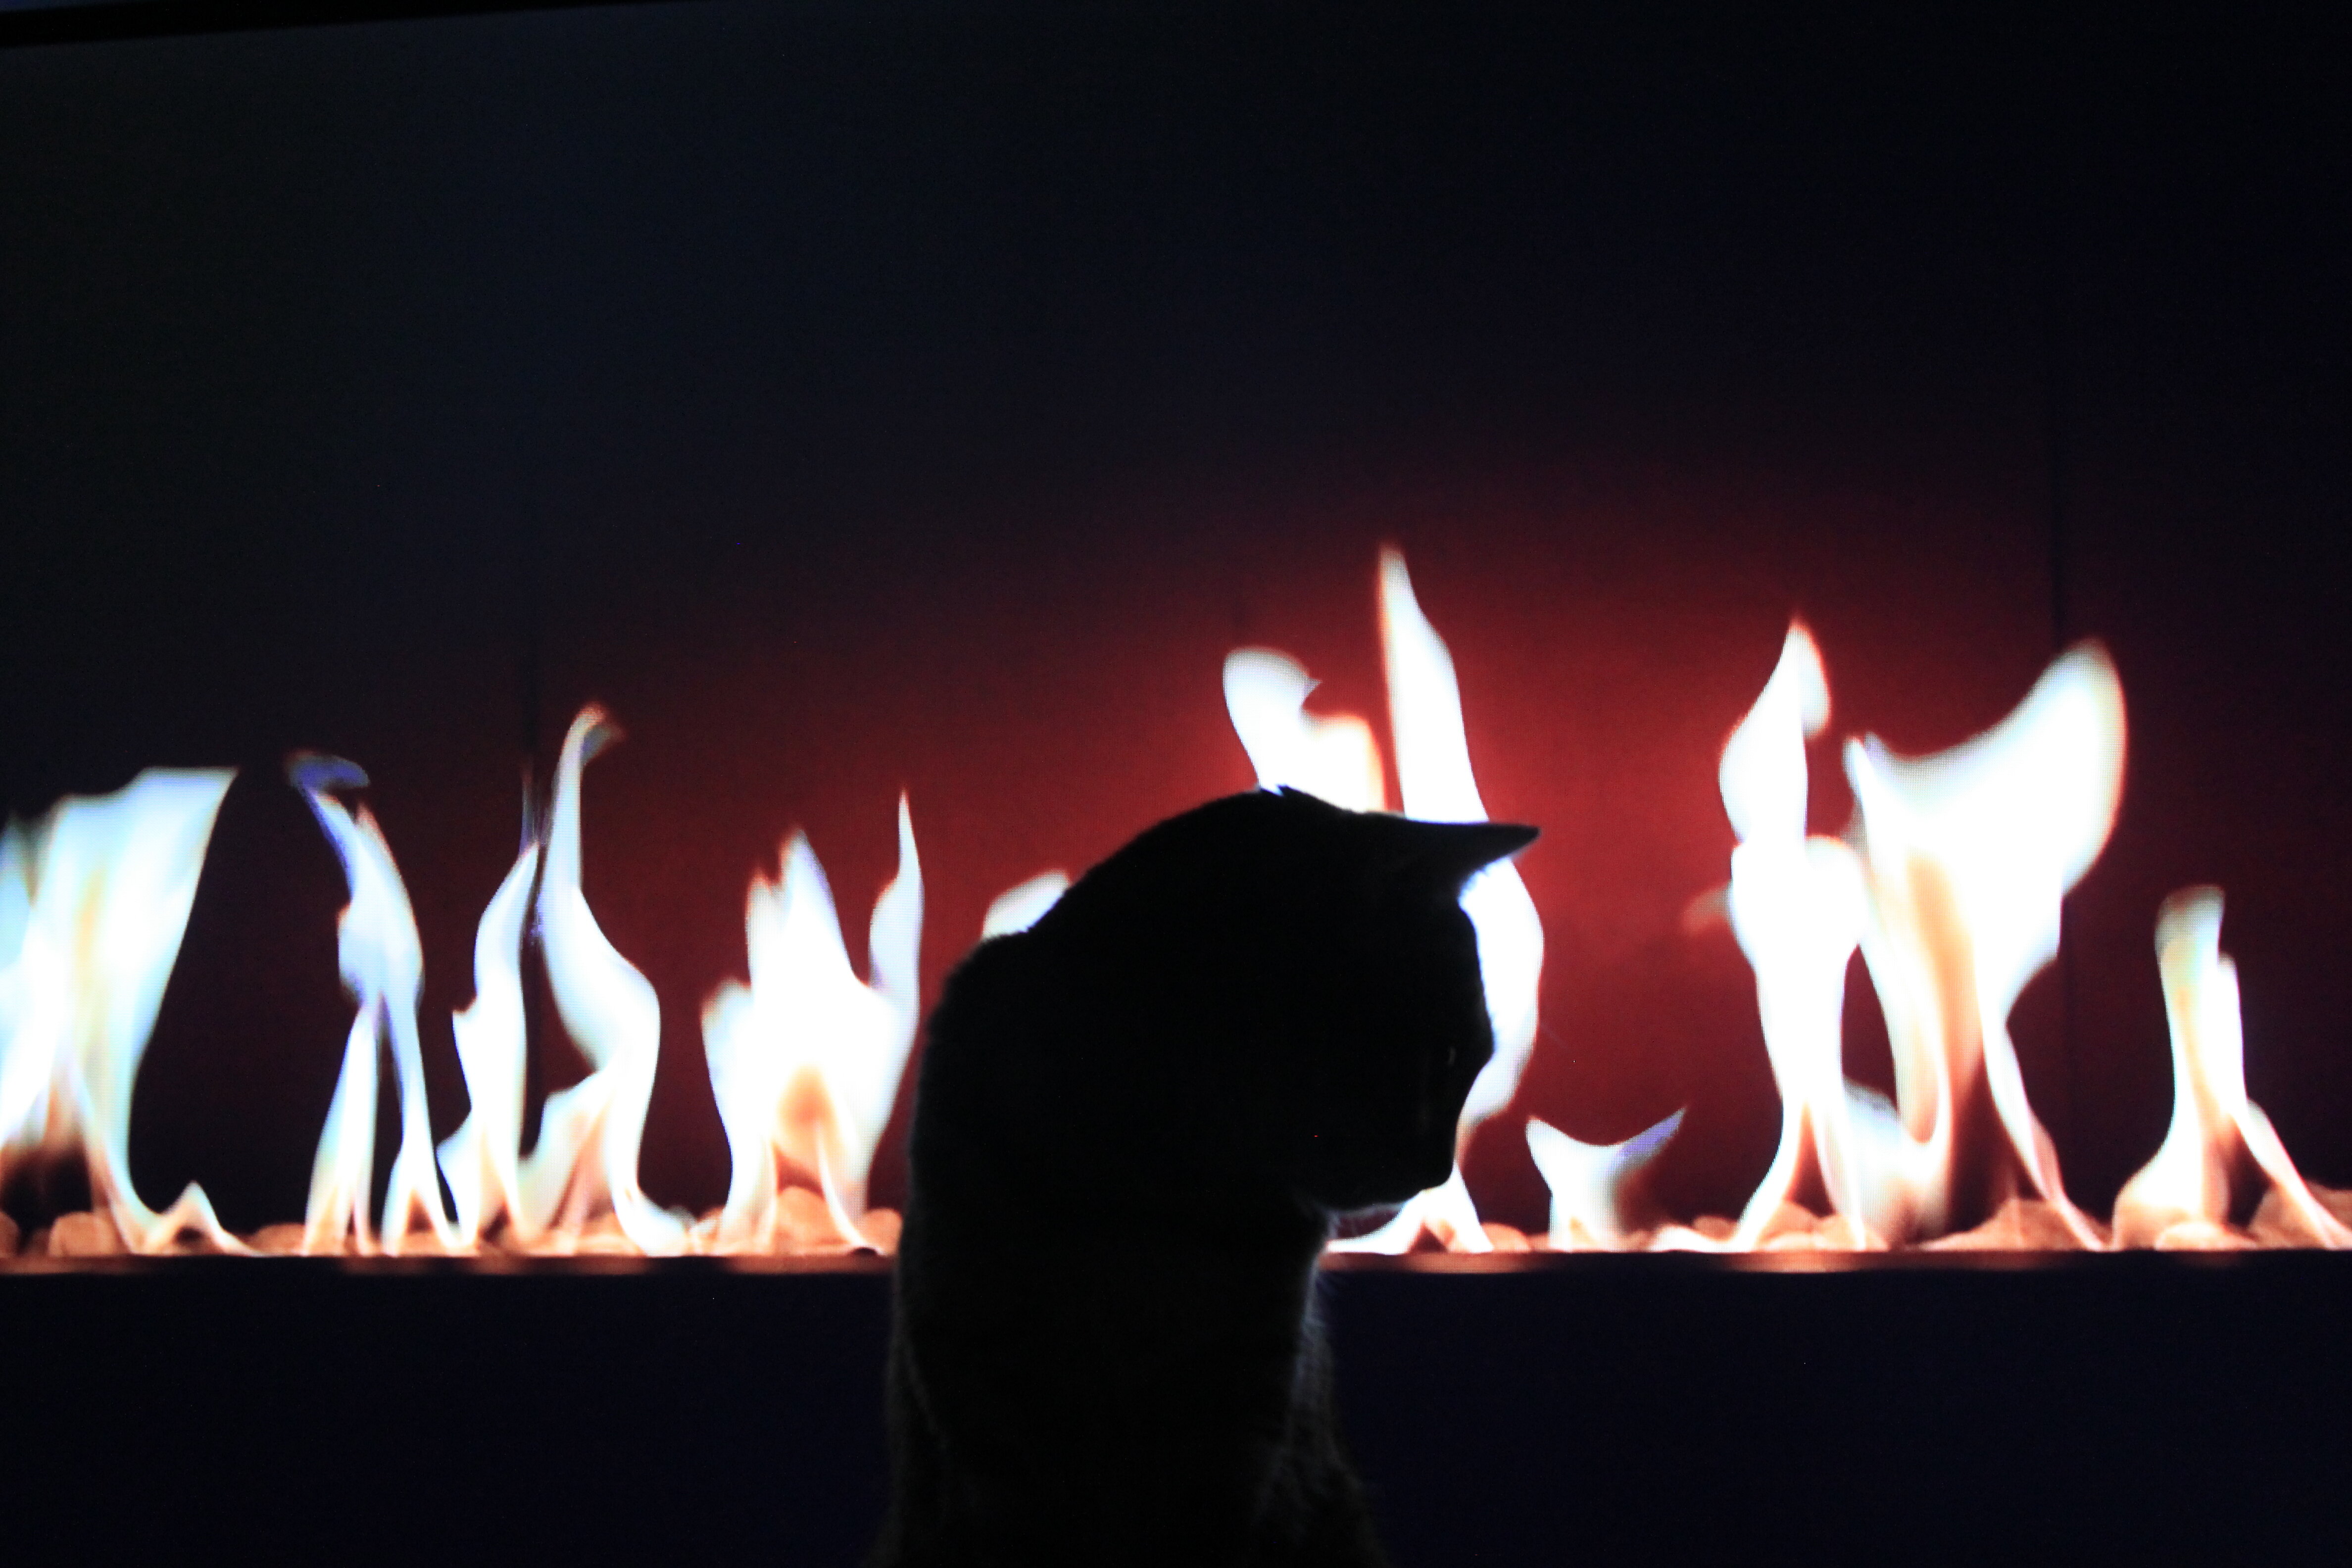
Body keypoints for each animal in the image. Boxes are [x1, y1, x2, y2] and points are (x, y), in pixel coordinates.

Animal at [871, 787, 1538, 1568]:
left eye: (1472, 1061)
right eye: (1452, 1054)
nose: (1440, 1173)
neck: (1160, 1175)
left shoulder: (1235, 1424)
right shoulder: (988, 1405)